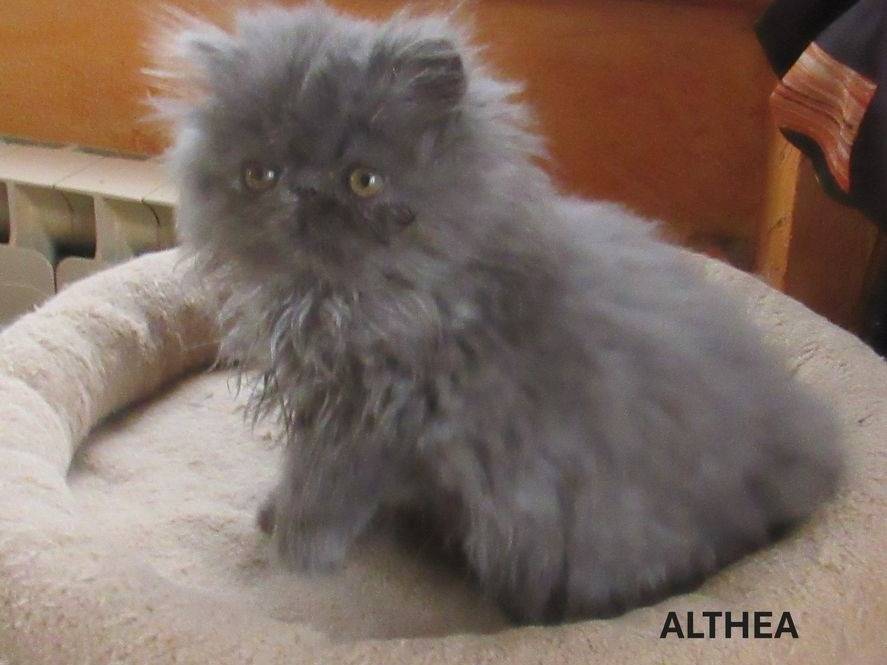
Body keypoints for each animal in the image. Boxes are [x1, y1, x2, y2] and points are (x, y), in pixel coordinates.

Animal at [154, 2, 842, 623]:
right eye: (259, 174)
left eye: (363, 181)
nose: (302, 193)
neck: (351, 301)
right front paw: (274, 514)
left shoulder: (376, 423)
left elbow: (321, 490)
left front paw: (293, 557)